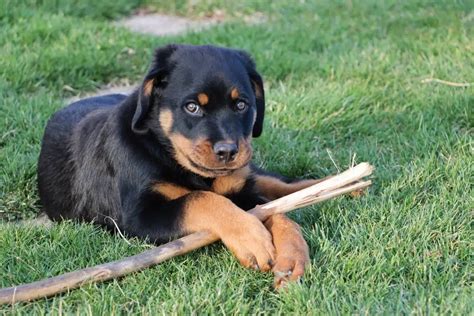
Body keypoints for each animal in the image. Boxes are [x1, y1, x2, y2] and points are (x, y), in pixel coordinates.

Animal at [38, 43, 322, 286]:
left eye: (241, 104)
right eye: (192, 107)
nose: (228, 151)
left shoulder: (240, 190)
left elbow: (274, 211)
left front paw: (292, 256)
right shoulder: (139, 216)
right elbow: (201, 199)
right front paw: (252, 238)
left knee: (278, 182)